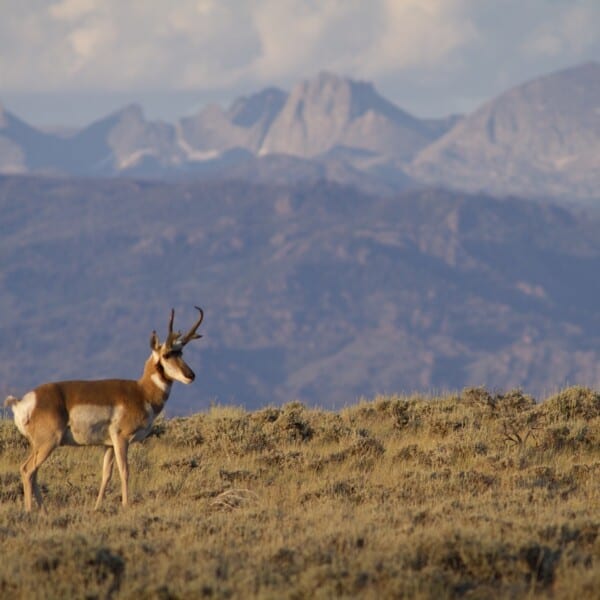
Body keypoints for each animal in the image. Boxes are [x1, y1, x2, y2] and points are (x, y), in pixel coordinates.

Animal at [2, 310, 205, 510]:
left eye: (181, 352)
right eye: (167, 355)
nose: (191, 375)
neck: (141, 392)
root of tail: (24, 401)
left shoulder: (108, 445)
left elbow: (106, 474)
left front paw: (97, 507)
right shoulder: (121, 439)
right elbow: (125, 471)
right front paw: (126, 505)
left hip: (40, 445)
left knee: (34, 472)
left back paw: (43, 511)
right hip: (48, 442)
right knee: (27, 469)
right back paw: (30, 510)